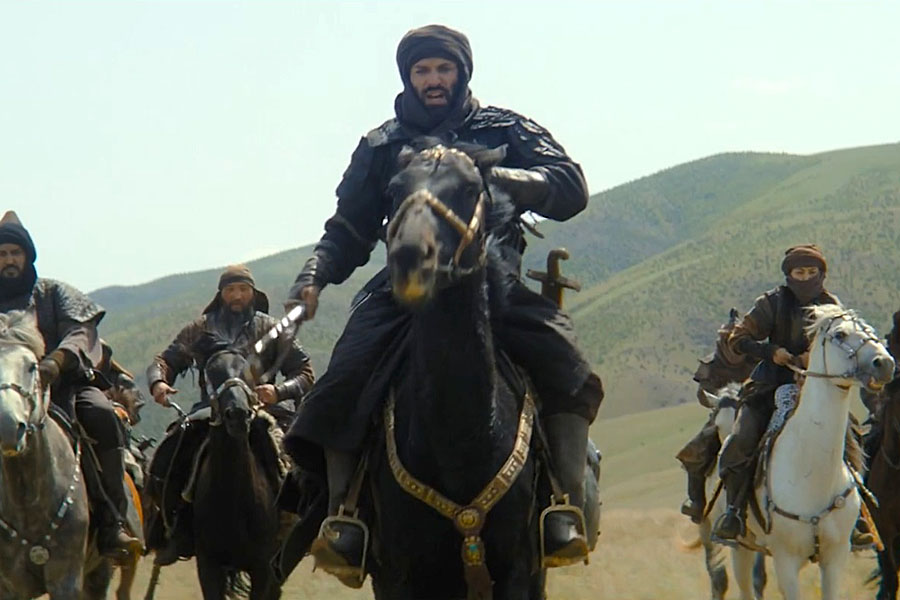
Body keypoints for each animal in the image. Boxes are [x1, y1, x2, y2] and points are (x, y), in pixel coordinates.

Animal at [729, 305, 894, 600]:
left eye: (871, 330)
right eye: (840, 334)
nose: (885, 363)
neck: (810, 469)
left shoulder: (835, 557)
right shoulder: (786, 561)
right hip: (742, 545)